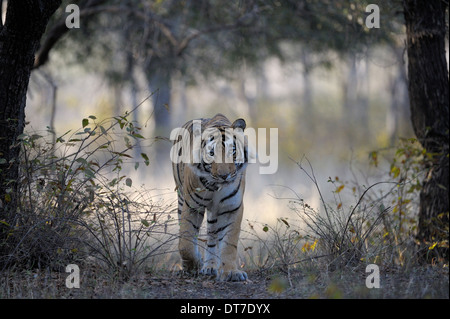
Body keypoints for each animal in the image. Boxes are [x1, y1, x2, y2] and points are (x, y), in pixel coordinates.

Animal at [171, 114, 250, 282]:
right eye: (212, 153)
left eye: (233, 152)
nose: (224, 175)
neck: (216, 186)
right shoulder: (192, 206)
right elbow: (186, 242)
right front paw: (194, 265)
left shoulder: (231, 208)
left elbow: (229, 242)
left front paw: (231, 272)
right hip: (180, 197)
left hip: (214, 212)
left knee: (212, 236)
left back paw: (211, 267)